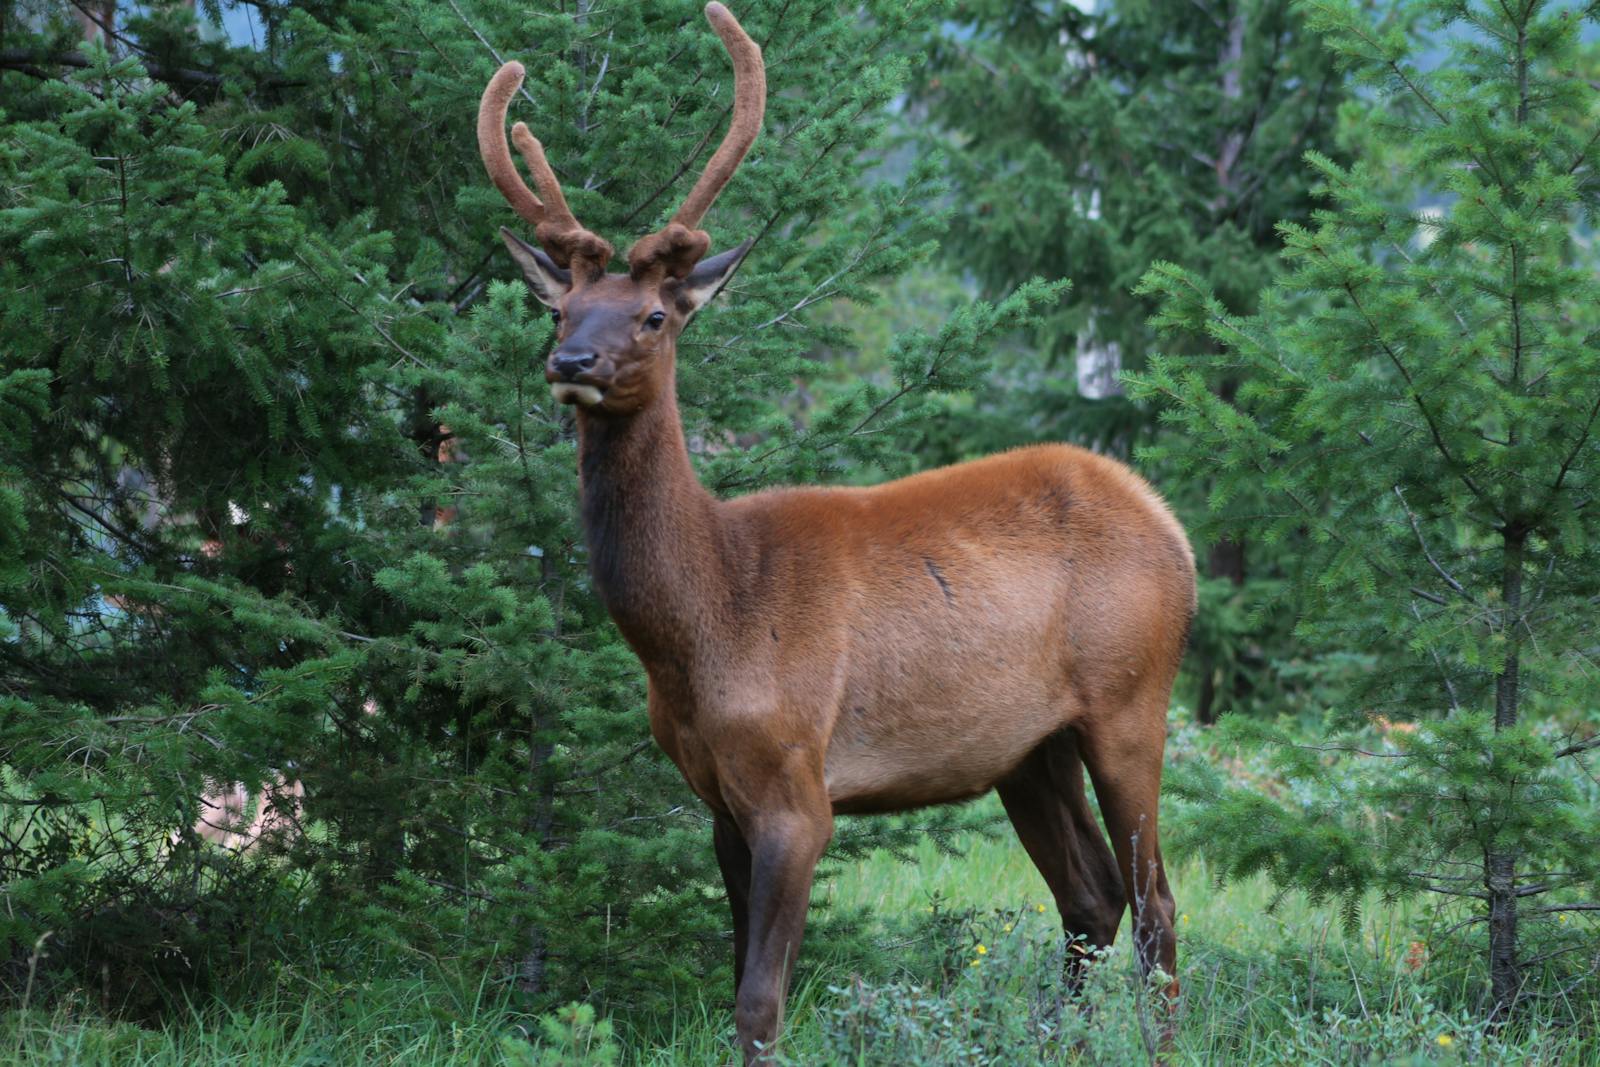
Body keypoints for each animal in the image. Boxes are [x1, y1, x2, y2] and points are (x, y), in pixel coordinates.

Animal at [476, 5, 1196, 1060]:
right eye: (562, 307)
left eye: (652, 316)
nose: (570, 361)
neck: (704, 623)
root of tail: (1172, 527)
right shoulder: (715, 795)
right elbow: (735, 984)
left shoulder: (796, 783)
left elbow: (761, 1002)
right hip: (1027, 747)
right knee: (1091, 898)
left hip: (1131, 697)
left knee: (1156, 905)